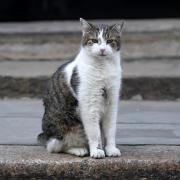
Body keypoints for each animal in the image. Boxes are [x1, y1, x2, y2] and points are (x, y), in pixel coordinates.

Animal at [37, 18, 124, 158]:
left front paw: (111, 149)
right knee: (57, 147)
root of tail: (45, 136)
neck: (103, 68)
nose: (102, 49)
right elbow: (94, 133)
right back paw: (79, 150)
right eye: (94, 40)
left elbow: (110, 130)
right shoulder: (89, 106)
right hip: (61, 131)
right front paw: (97, 151)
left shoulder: (112, 102)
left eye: (110, 41)